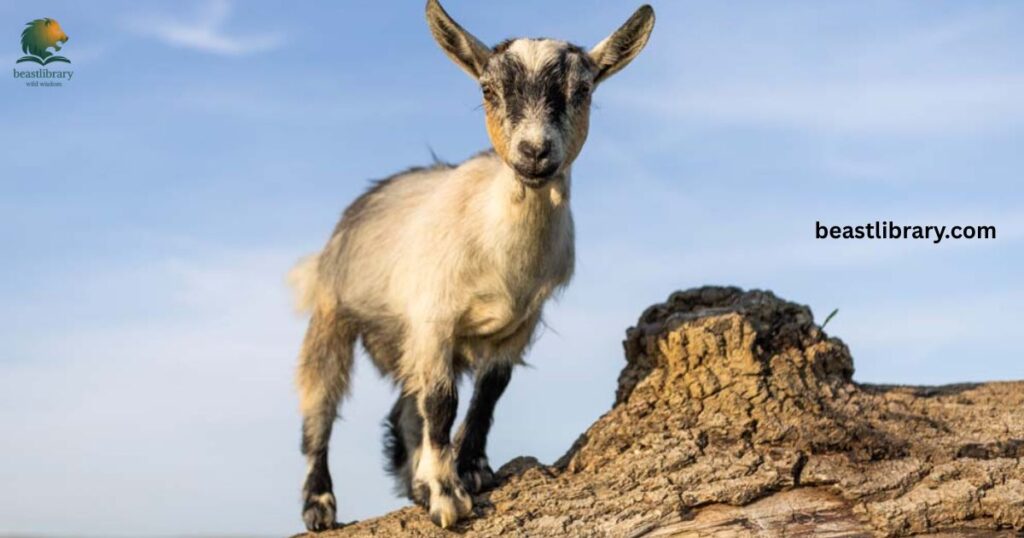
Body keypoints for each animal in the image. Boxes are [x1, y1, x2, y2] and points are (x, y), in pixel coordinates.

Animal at [291, 0, 655, 530]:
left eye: (583, 90)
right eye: (488, 89)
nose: (534, 151)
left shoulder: (519, 324)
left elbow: (489, 392)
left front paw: (470, 468)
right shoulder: (433, 318)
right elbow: (442, 403)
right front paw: (448, 496)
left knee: (404, 409)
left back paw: (416, 482)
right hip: (332, 313)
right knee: (320, 405)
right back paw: (320, 505)